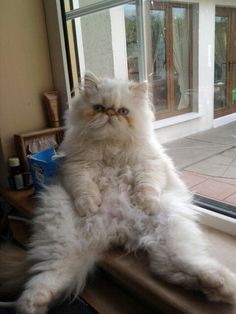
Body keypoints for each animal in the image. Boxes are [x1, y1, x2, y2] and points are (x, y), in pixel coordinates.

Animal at [14, 72, 236, 312]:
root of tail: (115, 230)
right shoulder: (76, 167)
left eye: (123, 112)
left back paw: (221, 286)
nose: (110, 114)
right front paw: (90, 207)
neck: (110, 146)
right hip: (62, 236)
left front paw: (145, 204)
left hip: (169, 226)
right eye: (99, 108)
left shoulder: (149, 163)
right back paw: (31, 306)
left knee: (175, 266)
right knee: (49, 277)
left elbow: (146, 186)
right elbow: (84, 189)